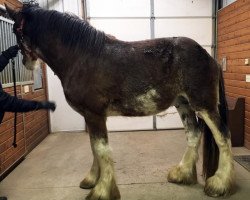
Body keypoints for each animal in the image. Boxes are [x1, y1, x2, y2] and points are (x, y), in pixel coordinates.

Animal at [5, 3, 234, 200]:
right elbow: (94, 147)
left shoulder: (95, 114)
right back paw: (182, 174)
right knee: (193, 134)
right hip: (183, 104)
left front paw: (102, 191)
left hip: (204, 105)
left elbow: (101, 149)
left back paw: (219, 184)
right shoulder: (91, 116)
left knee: (223, 136)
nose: (26, 62)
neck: (80, 58)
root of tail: (210, 58)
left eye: (16, 30)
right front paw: (91, 180)